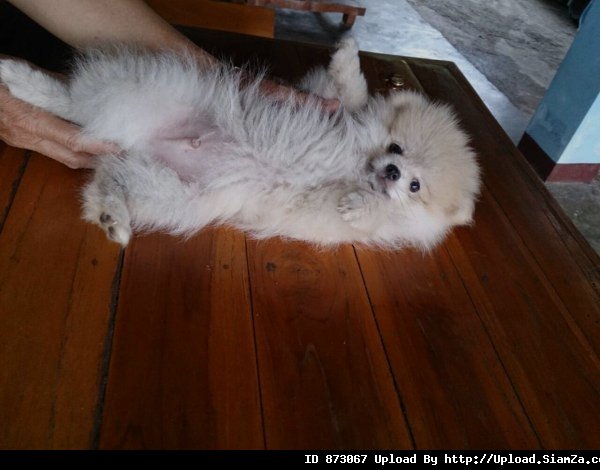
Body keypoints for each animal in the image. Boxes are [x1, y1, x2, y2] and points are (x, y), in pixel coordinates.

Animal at [0, 39, 480, 249]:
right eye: (397, 149)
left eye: (415, 187)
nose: (392, 172)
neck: (359, 164)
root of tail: (141, 141)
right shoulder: (328, 104)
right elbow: (350, 91)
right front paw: (347, 55)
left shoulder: (335, 216)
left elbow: (368, 214)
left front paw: (363, 204)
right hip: (151, 95)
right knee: (71, 101)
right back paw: (22, 81)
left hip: (175, 193)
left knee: (108, 179)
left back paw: (111, 217)